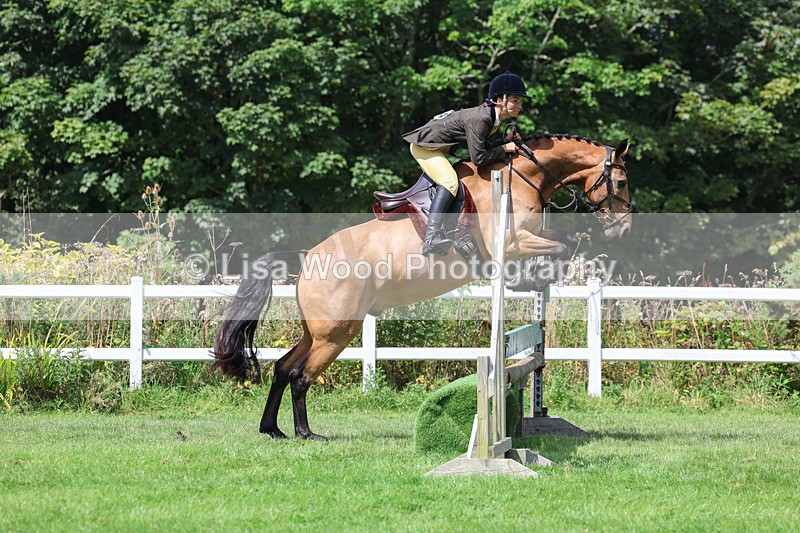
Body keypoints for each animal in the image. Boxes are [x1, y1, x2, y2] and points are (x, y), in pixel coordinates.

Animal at [213, 134, 633, 440]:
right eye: (622, 182)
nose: (623, 230)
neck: (522, 175)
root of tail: (308, 256)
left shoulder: (531, 236)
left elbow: (566, 238)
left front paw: (537, 278)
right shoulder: (514, 242)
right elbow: (561, 245)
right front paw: (532, 277)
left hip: (317, 331)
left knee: (283, 368)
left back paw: (273, 430)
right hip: (336, 332)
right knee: (300, 376)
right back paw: (306, 434)